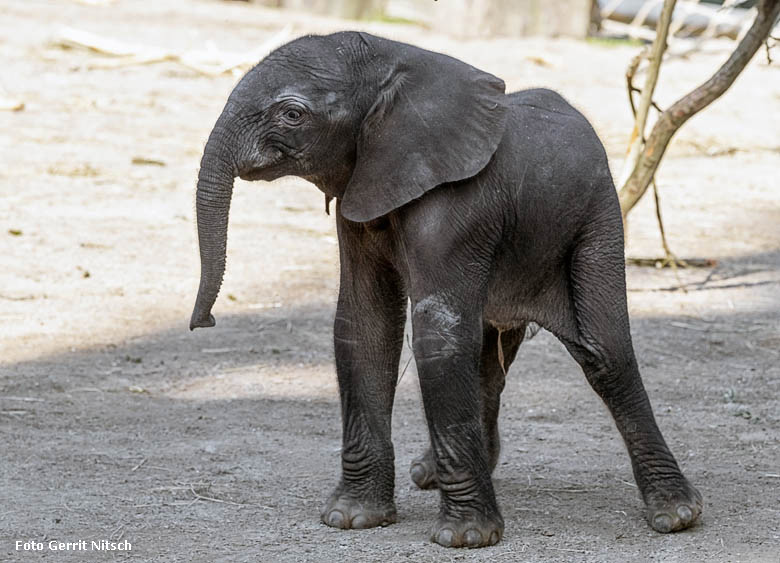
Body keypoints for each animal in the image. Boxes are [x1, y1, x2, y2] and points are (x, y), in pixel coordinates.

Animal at [189, 30, 700, 548]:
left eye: (292, 114)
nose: (204, 321)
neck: (396, 62)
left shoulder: (459, 207)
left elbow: (438, 333)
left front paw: (466, 538)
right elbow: (366, 325)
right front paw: (352, 518)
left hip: (597, 219)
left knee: (605, 352)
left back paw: (676, 514)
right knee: (488, 359)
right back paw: (431, 472)